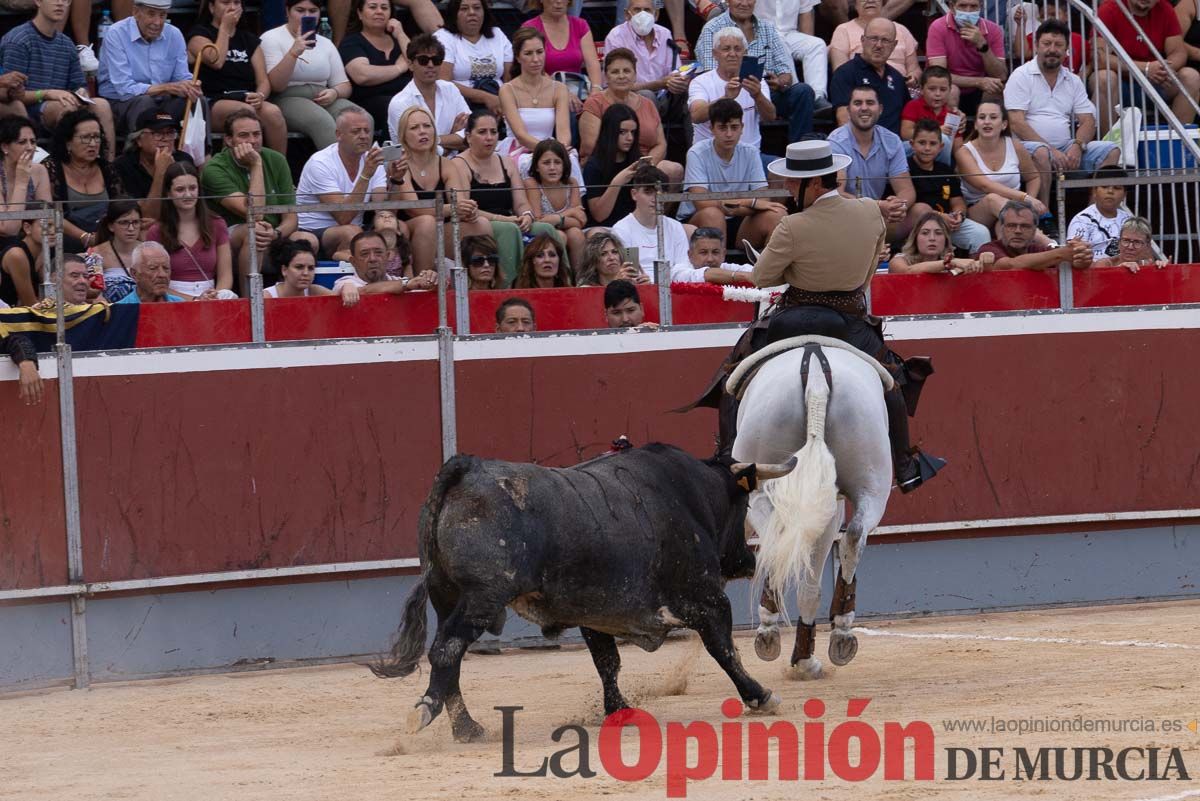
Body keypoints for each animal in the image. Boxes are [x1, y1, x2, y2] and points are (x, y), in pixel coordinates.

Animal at [369, 441, 792, 743]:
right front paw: (760, 695)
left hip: (446, 596)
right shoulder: (707, 599)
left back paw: (467, 729)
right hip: (480, 599)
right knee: (448, 649)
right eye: (743, 504)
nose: (747, 561)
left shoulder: (597, 614)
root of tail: (465, 469)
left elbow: (607, 663)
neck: (690, 493)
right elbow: (724, 650)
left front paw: (619, 710)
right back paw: (428, 711)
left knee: (450, 656)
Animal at [729, 340, 892, 681]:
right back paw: (840, 633)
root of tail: (816, 369)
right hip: (872, 482)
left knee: (780, 543)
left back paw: (774, 632)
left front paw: (801, 658)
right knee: (853, 536)